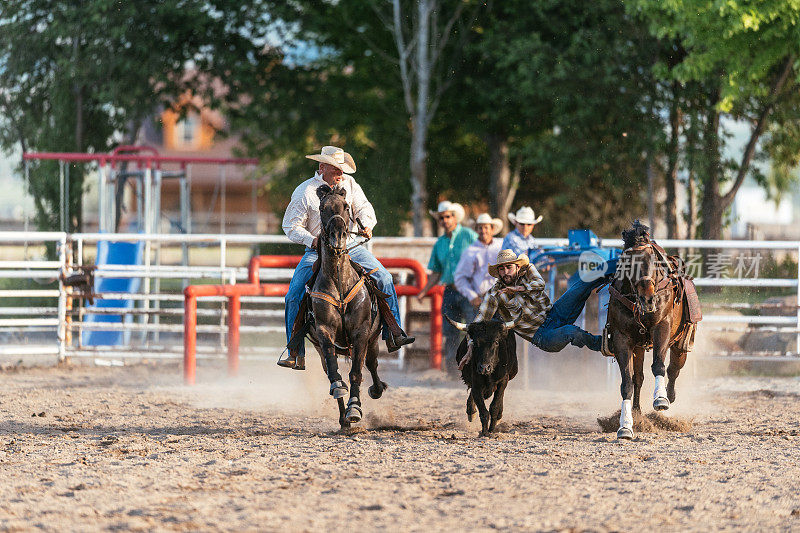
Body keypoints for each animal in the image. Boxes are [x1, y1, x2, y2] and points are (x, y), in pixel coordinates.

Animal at [308, 185, 386, 426]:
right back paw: (343, 419)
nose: (338, 236)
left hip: (373, 340)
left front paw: (355, 408)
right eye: (322, 208)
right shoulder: (324, 332)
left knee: (371, 364)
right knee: (331, 371)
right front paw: (341, 396)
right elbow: (335, 373)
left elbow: (356, 373)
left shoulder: (361, 333)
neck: (340, 283)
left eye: (346, 206)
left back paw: (376, 390)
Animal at [608, 218, 696, 438]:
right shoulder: (622, 339)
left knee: (673, 369)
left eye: (653, 260)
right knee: (638, 378)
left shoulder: (661, 327)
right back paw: (637, 412)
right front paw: (625, 425)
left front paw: (660, 399)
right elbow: (627, 383)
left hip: (681, 345)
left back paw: (669, 395)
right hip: (639, 347)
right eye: (627, 262)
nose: (647, 298)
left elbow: (659, 365)